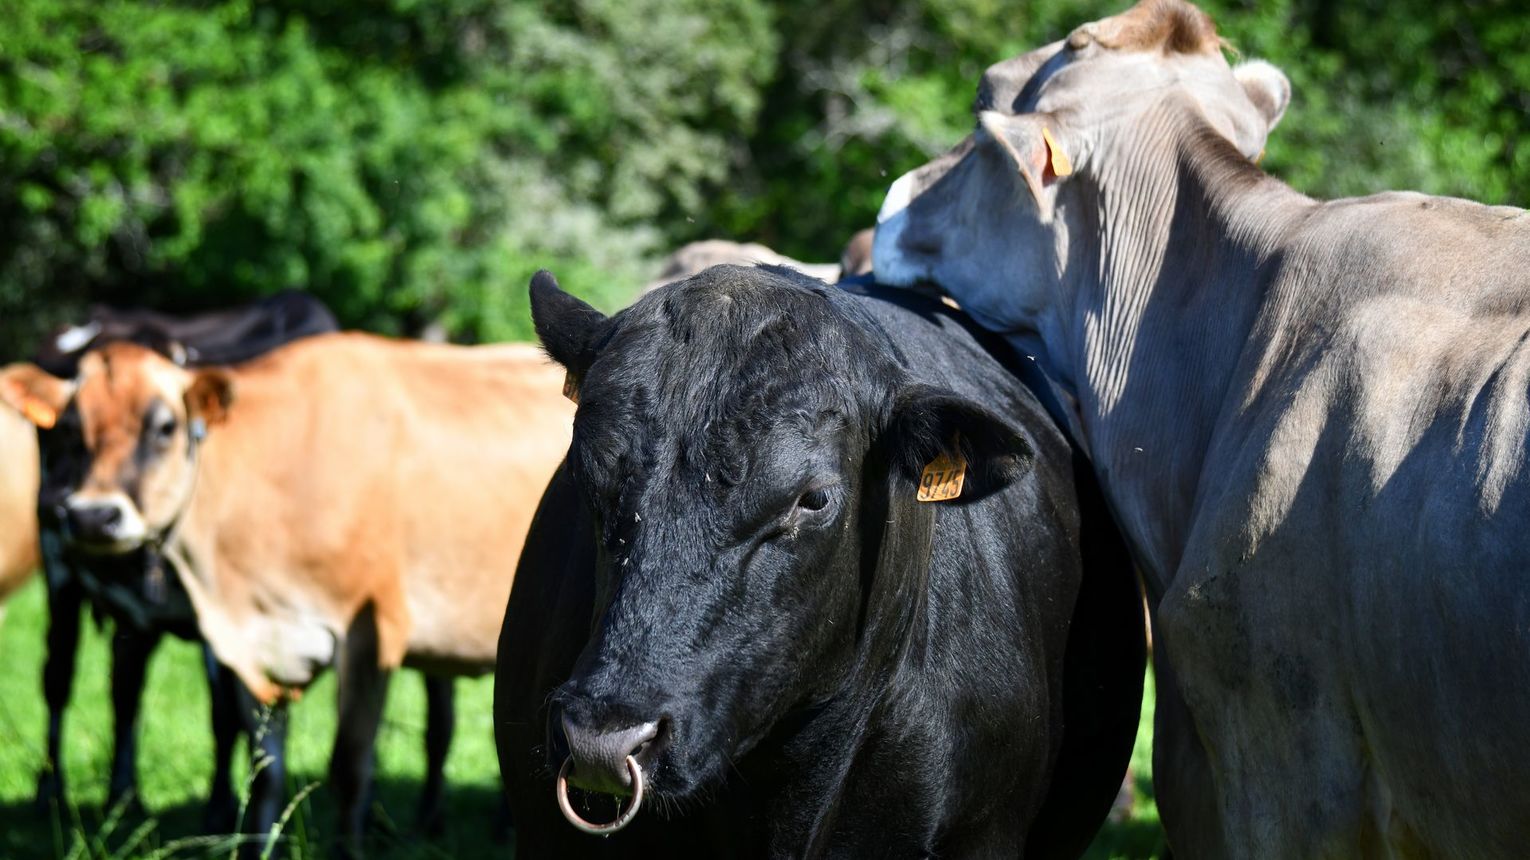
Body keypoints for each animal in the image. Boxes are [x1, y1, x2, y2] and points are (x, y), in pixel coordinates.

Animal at [1, 332, 575, 844]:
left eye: (164, 427)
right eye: (69, 427)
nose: (92, 516)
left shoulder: (373, 634)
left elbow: (351, 768)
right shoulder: (246, 645)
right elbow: (265, 775)